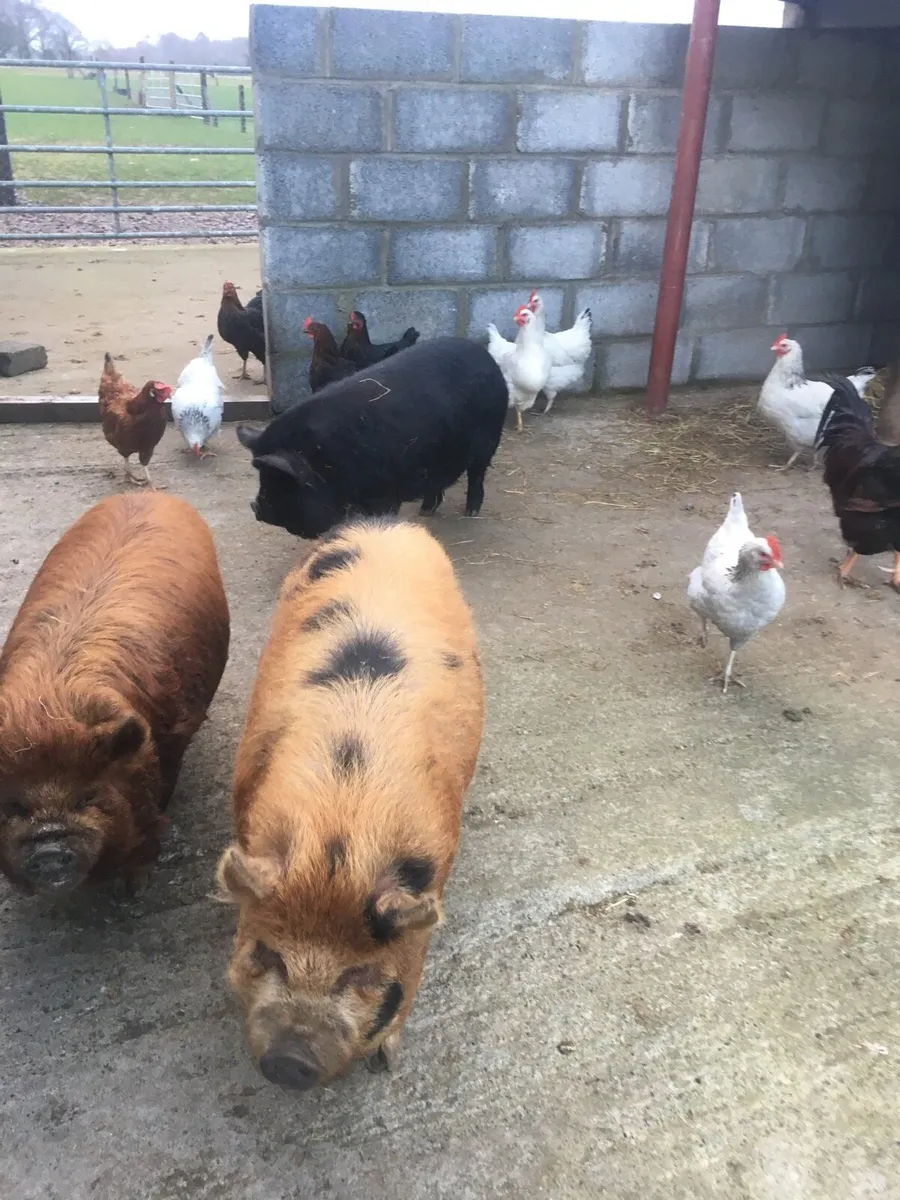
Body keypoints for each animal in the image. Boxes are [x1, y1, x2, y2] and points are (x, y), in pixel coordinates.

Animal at [0, 493, 230, 895]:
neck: (49, 703)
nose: (49, 848)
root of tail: (152, 494)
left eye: (86, 797)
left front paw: (135, 887)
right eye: (13, 805)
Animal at [216, 517, 483, 1089]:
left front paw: (389, 1060)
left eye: (359, 973)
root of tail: (387, 523)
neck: (340, 832)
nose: (290, 1060)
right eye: (269, 954)